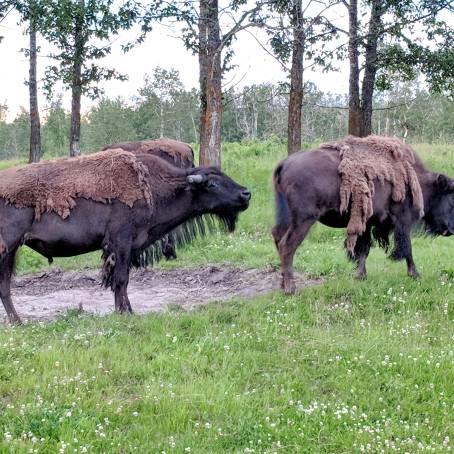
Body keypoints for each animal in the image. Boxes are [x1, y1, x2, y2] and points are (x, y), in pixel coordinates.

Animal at [0, 152, 252, 322]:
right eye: (212, 184)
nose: (246, 194)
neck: (153, 186)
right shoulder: (121, 243)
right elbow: (121, 280)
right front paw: (124, 313)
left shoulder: (128, 248)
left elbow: (122, 281)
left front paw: (128, 310)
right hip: (8, 248)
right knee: (4, 285)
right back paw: (18, 322)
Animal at [274, 135, 454, 294]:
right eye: (451, 197)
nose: (451, 230)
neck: (416, 178)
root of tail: (285, 163)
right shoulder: (402, 221)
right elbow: (407, 248)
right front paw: (415, 275)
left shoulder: (366, 224)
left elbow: (363, 249)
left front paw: (361, 276)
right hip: (304, 220)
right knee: (287, 246)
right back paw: (291, 289)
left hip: (287, 218)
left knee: (277, 238)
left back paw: (283, 285)